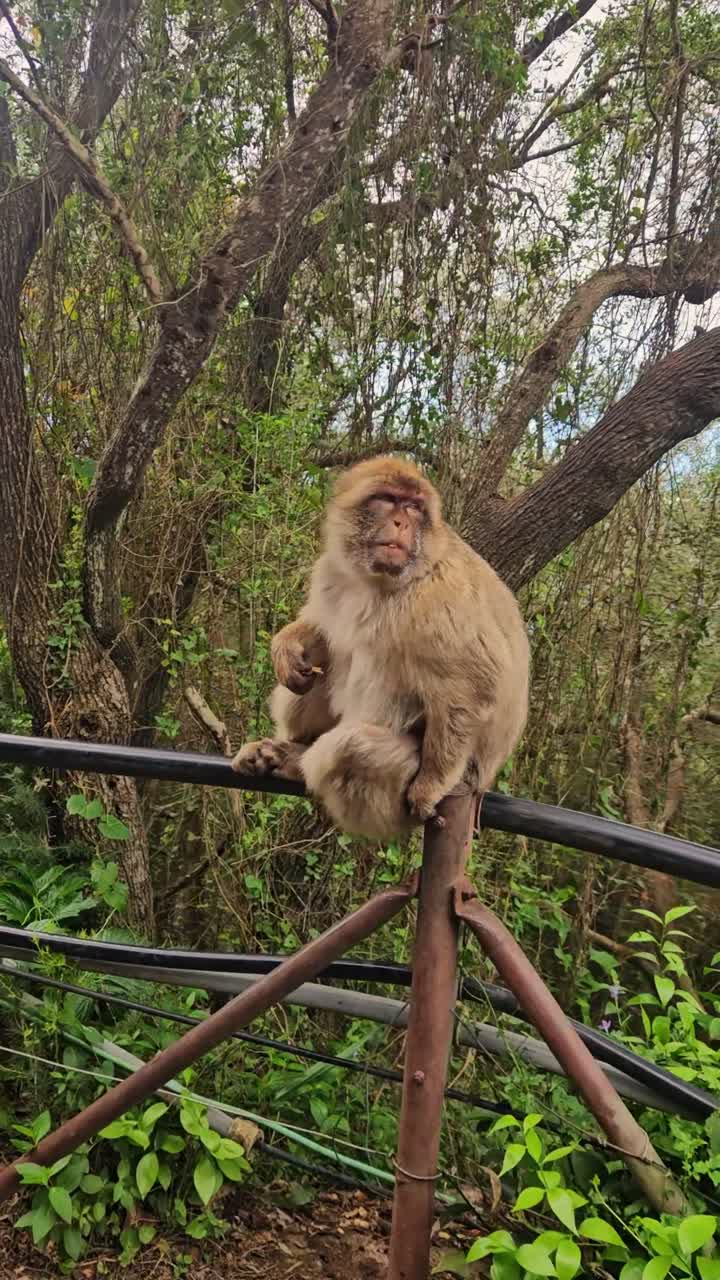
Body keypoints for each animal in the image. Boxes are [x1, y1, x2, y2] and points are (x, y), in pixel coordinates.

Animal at [231, 456, 529, 840]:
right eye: (387, 499)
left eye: (414, 507)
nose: (402, 522)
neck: (376, 580)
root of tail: (480, 787)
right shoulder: (331, 571)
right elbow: (321, 626)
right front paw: (286, 646)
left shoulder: (437, 599)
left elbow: (472, 686)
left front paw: (431, 783)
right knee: (324, 666)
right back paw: (287, 747)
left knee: (354, 745)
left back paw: (297, 763)